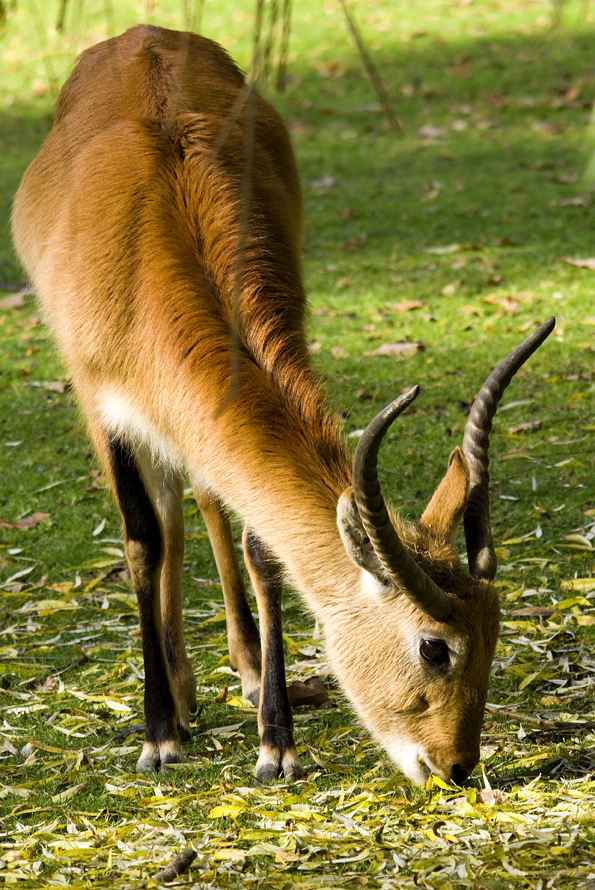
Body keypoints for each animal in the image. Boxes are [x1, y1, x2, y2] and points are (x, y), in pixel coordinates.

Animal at [12, 24, 556, 780]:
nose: (456, 766)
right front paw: (159, 734)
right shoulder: (103, 407)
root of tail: (142, 34)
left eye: (496, 631)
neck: (152, 249)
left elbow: (259, 548)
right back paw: (178, 699)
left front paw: (276, 744)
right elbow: (141, 541)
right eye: (434, 645)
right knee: (164, 521)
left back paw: (234, 674)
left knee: (202, 502)